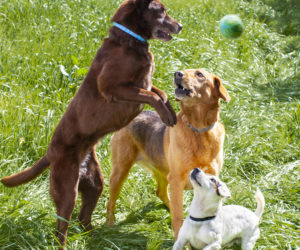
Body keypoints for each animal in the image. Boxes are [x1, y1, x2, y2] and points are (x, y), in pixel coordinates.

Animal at [1, 0, 182, 246]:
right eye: (162, 11)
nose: (180, 26)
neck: (127, 40)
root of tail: (50, 153)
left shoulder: (143, 83)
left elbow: (160, 93)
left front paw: (170, 113)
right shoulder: (113, 87)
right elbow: (152, 96)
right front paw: (165, 115)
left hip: (95, 184)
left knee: (83, 218)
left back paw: (99, 238)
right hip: (67, 190)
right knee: (61, 229)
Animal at [106, 68, 231, 238]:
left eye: (199, 74)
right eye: (184, 71)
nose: (177, 73)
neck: (199, 130)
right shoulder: (177, 179)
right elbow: (178, 218)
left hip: (163, 173)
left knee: (161, 192)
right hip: (121, 170)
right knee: (111, 201)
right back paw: (109, 225)